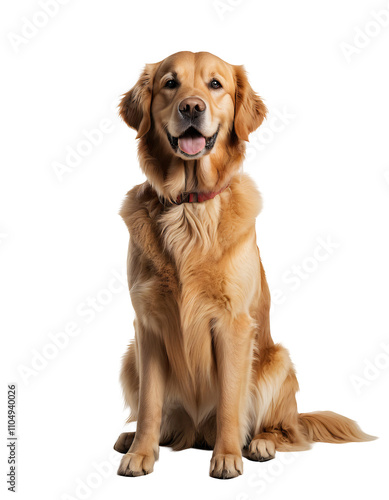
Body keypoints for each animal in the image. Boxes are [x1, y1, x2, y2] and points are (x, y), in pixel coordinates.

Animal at [113, 51, 374, 480]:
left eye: (215, 85)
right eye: (170, 83)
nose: (191, 107)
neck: (189, 206)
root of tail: (195, 433)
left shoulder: (232, 323)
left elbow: (229, 400)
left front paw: (228, 457)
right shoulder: (147, 325)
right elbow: (150, 403)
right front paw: (141, 454)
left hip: (278, 362)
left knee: (286, 431)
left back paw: (260, 443)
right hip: (129, 357)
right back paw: (132, 438)